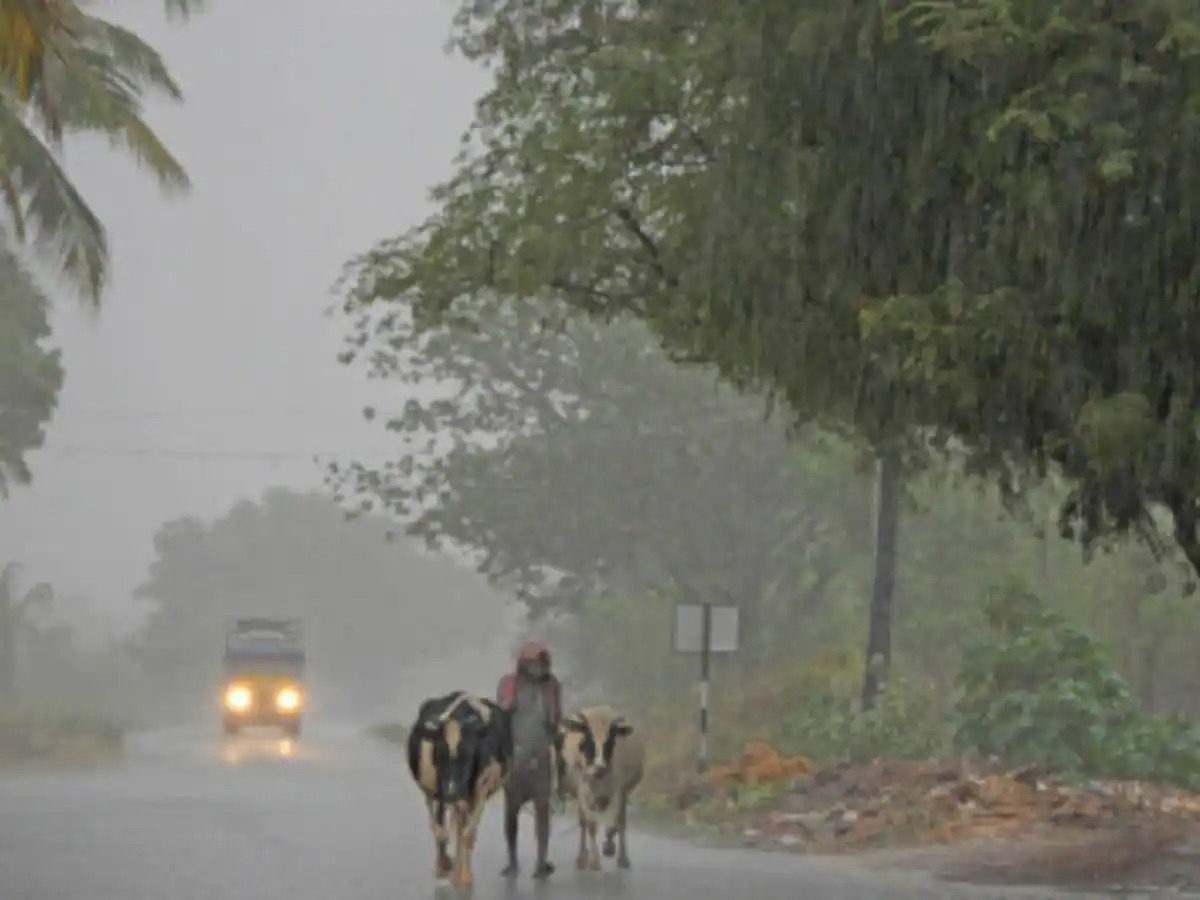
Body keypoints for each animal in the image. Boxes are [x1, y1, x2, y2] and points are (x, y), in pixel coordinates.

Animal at [408, 691, 511, 888]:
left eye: (469, 756)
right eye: (439, 754)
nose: (452, 793)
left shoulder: (481, 788)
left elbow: (468, 835)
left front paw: (463, 876)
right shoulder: (432, 790)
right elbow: (439, 830)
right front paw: (444, 865)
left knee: (461, 826)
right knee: (452, 824)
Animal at [559, 705, 648, 873]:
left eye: (610, 741)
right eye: (587, 739)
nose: (599, 769)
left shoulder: (618, 789)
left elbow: (615, 822)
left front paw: (609, 847)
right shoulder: (583, 791)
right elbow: (590, 825)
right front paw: (594, 862)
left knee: (621, 821)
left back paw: (622, 858)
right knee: (584, 823)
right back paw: (582, 857)